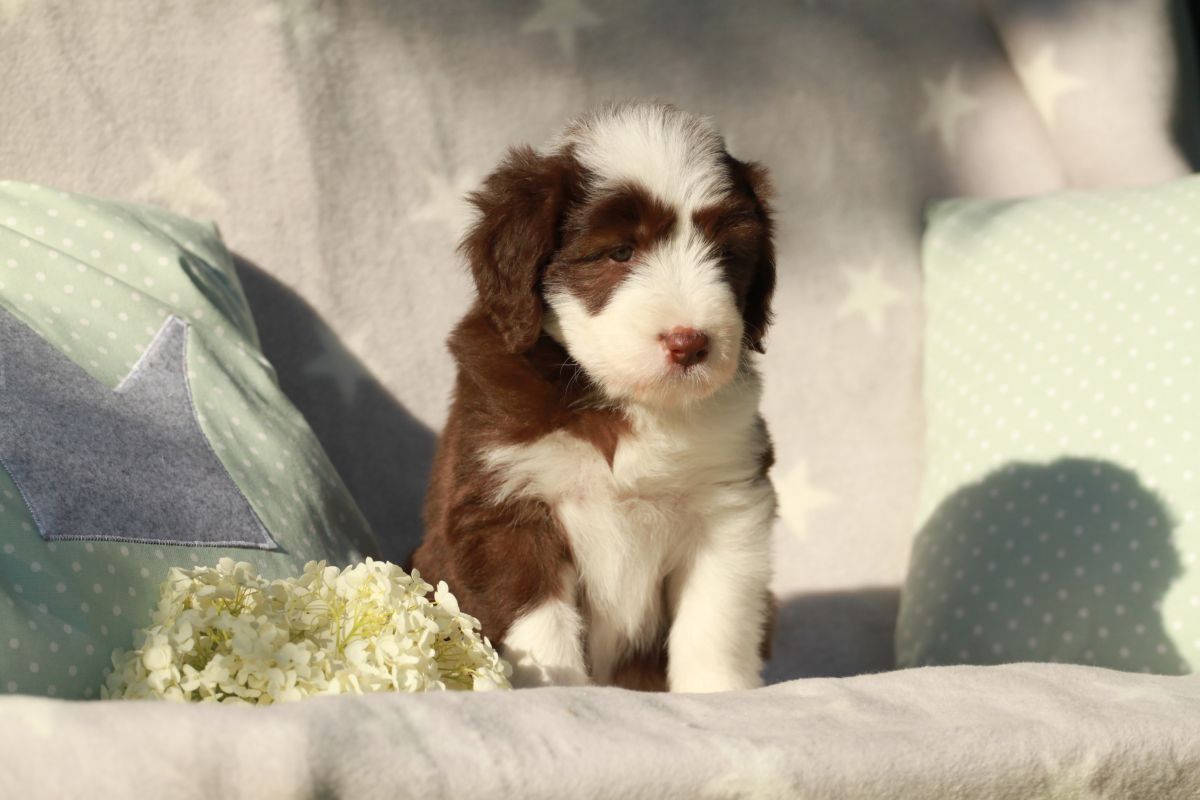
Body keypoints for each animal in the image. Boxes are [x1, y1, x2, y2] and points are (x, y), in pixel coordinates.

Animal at [410, 102, 777, 692]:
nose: (690, 343)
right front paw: (556, 694)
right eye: (620, 252)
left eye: (726, 256)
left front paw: (717, 693)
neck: (623, 403)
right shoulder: (506, 507)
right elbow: (540, 627)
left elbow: (716, 617)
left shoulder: (728, 503)